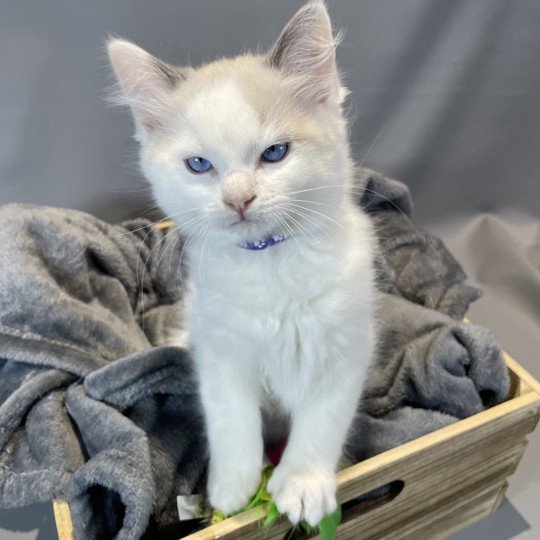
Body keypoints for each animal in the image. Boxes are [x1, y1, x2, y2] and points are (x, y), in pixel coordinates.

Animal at [107, 0, 374, 528]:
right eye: (199, 165)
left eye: (274, 153)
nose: (238, 199)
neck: (268, 261)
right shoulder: (220, 354)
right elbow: (233, 420)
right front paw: (232, 487)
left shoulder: (345, 349)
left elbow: (322, 420)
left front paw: (303, 485)